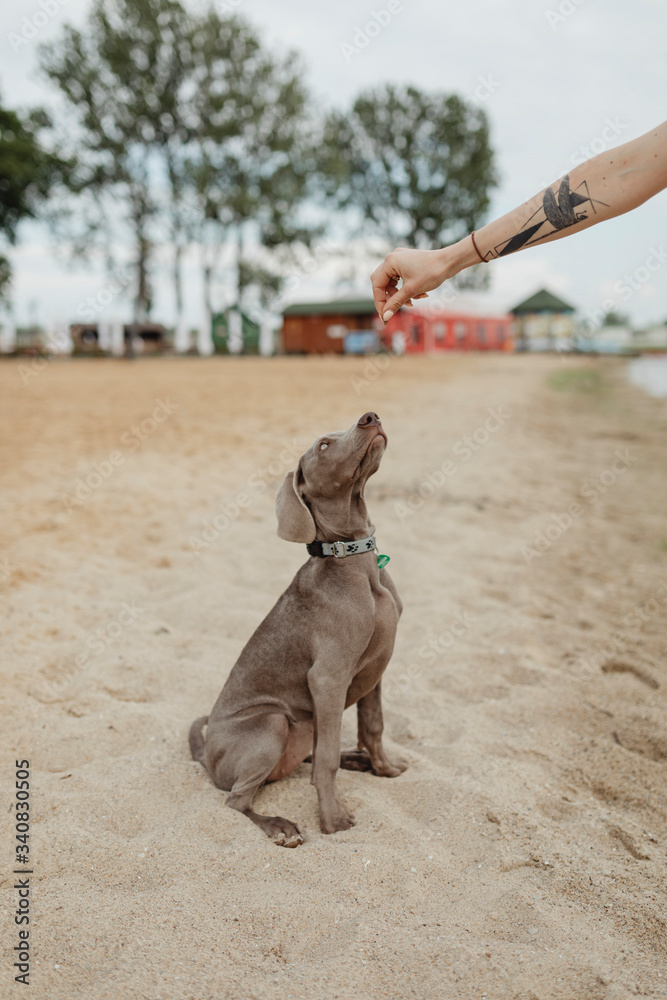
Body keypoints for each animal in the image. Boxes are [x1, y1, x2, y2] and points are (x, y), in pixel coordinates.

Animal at [189, 410, 408, 848]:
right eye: (323, 445)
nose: (370, 416)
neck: (354, 561)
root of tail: (207, 758)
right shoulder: (328, 676)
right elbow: (325, 762)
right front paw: (334, 819)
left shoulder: (377, 667)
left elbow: (373, 725)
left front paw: (385, 768)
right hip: (273, 722)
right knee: (236, 799)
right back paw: (280, 826)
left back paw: (356, 758)